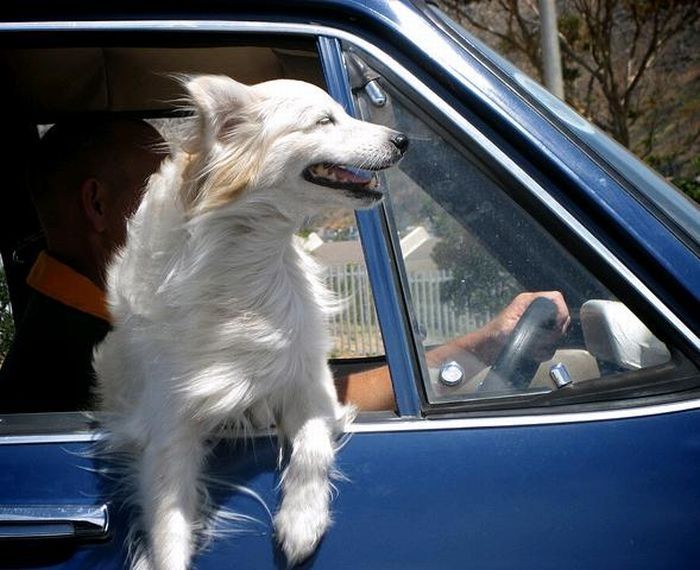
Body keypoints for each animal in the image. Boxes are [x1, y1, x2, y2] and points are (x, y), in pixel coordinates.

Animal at [93, 75, 410, 568]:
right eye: (324, 121)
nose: (402, 139)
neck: (248, 256)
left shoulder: (310, 386)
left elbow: (312, 447)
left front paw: (302, 521)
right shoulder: (169, 431)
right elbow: (168, 529)